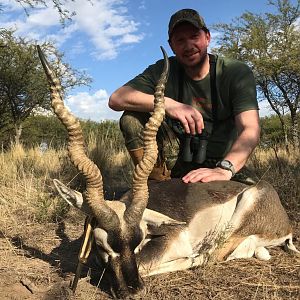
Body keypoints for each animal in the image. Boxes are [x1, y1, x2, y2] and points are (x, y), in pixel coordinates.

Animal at [37, 45, 298, 298]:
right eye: (101, 245)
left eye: (138, 241)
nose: (134, 291)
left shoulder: (170, 240)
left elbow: (145, 264)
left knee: (217, 254)